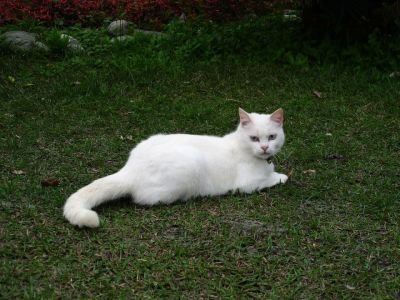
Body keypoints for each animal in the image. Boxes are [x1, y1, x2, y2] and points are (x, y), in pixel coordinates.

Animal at [63, 108, 288, 227]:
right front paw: (281, 176)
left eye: (272, 137)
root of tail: (129, 169)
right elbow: (272, 179)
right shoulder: (247, 185)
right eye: (254, 138)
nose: (265, 148)